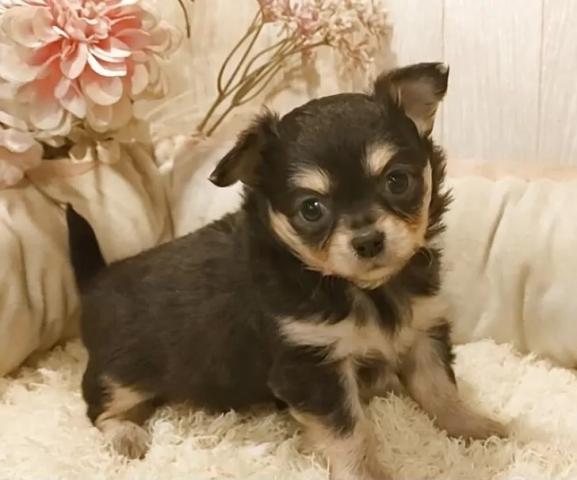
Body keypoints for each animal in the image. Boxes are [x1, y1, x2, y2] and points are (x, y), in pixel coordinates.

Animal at [66, 63, 507, 480]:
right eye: (311, 209)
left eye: (398, 181)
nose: (368, 240)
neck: (359, 289)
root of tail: (96, 281)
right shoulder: (312, 367)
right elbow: (350, 432)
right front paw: (365, 473)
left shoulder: (421, 331)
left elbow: (439, 390)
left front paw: (476, 428)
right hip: (122, 374)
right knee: (97, 407)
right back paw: (126, 435)